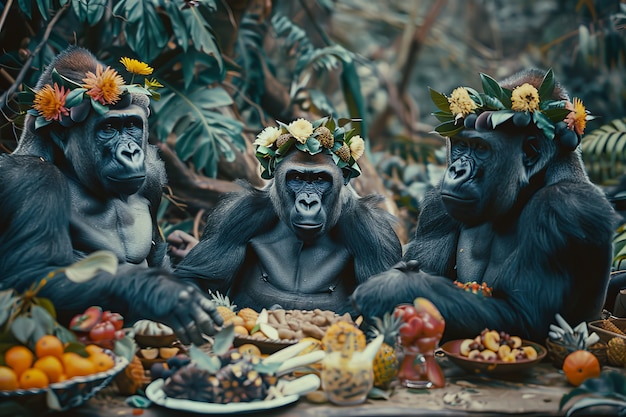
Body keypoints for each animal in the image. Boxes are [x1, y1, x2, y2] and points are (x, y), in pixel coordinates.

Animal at [174, 117, 400, 312]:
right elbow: (195, 280)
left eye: (320, 179)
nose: (307, 202)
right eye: (297, 178)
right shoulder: (236, 216)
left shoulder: (373, 232)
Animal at [352, 68, 620, 342]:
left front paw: (391, 290)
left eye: (481, 148)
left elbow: (527, 316)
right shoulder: (437, 206)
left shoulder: (566, 207)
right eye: (461, 144)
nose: (456, 170)